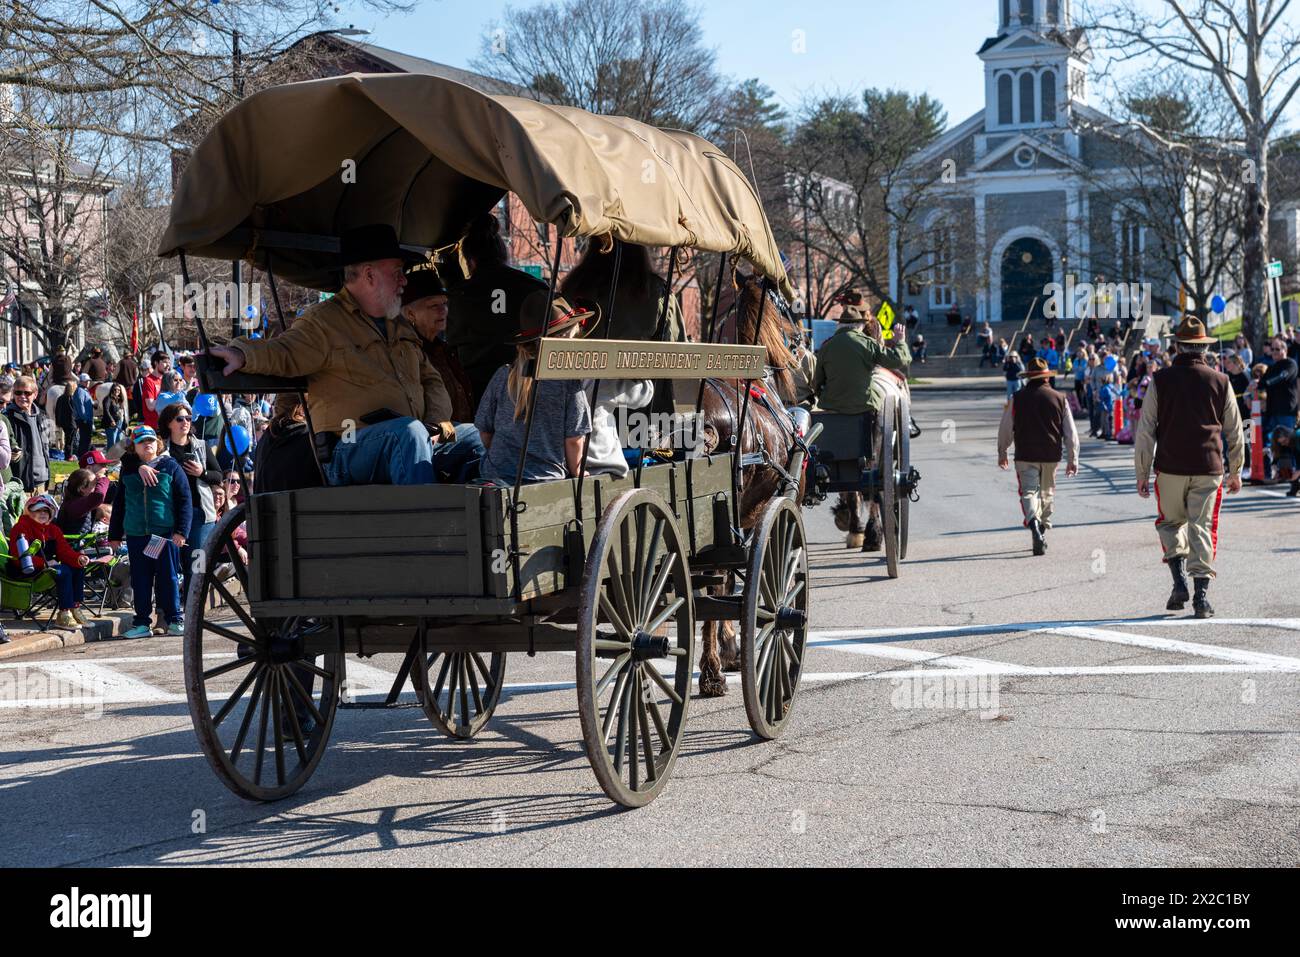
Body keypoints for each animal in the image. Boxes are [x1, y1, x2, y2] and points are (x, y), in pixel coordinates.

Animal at [696, 270, 806, 696]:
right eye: (788, 306)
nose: (802, 338)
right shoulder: (759, 512)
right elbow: (731, 584)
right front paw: (728, 651)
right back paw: (711, 672)